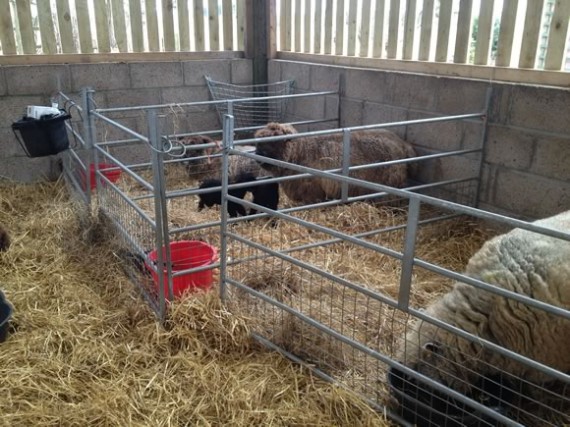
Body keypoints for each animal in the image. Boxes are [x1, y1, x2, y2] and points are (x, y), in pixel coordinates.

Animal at [252, 123, 412, 205]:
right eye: (258, 143)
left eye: (274, 142)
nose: (257, 157)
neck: (300, 153)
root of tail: (404, 144)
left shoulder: (313, 192)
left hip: (389, 186)